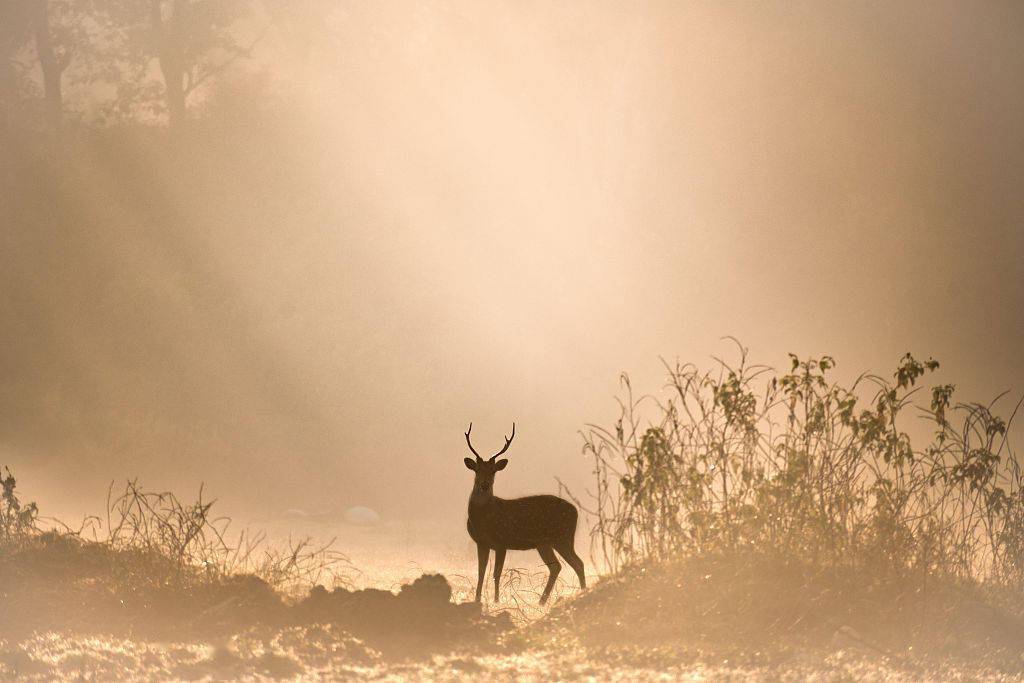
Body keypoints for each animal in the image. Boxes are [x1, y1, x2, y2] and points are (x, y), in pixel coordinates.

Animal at [462, 423, 585, 606]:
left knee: (577, 563)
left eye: (493, 470)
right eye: (477, 470)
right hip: (545, 543)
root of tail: (575, 511)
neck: (484, 518)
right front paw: (477, 600)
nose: (484, 485)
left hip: (562, 537)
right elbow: (481, 572)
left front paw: (496, 601)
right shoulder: (481, 543)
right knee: (557, 566)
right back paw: (542, 601)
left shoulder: (502, 542)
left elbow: (496, 573)